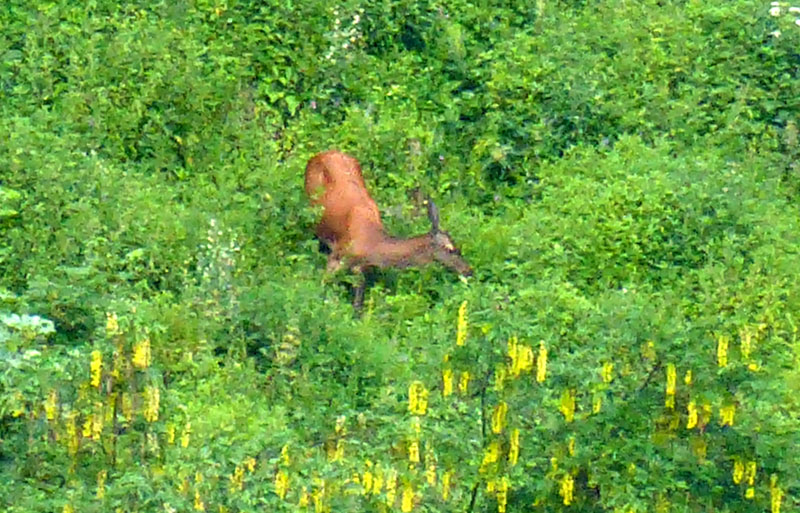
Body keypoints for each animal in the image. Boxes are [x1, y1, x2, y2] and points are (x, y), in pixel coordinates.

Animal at [304, 149, 468, 308]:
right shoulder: (337, 255)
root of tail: (320, 154)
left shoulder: (361, 268)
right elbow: (323, 285)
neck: (371, 245)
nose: (468, 270)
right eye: (450, 249)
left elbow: (358, 301)